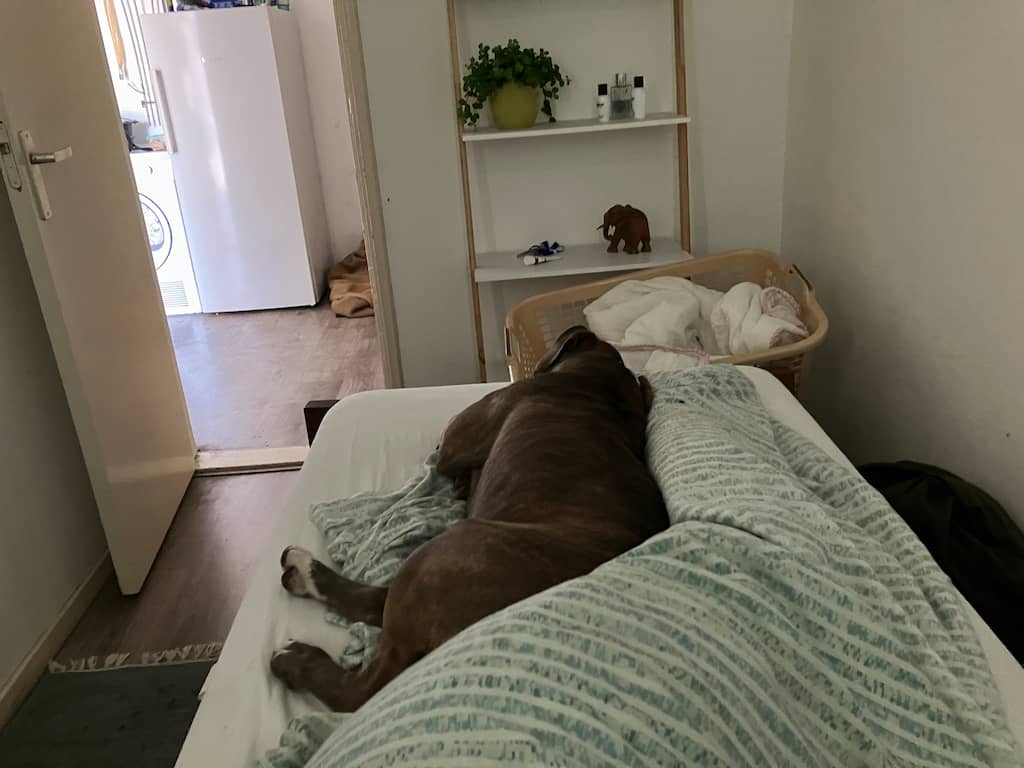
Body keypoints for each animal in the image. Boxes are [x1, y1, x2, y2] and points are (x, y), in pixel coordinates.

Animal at [270, 326, 669, 712]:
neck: (597, 390)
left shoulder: (457, 440)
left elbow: (445, 452)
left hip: (441, 555)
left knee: (362, 676)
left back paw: (298, 645)